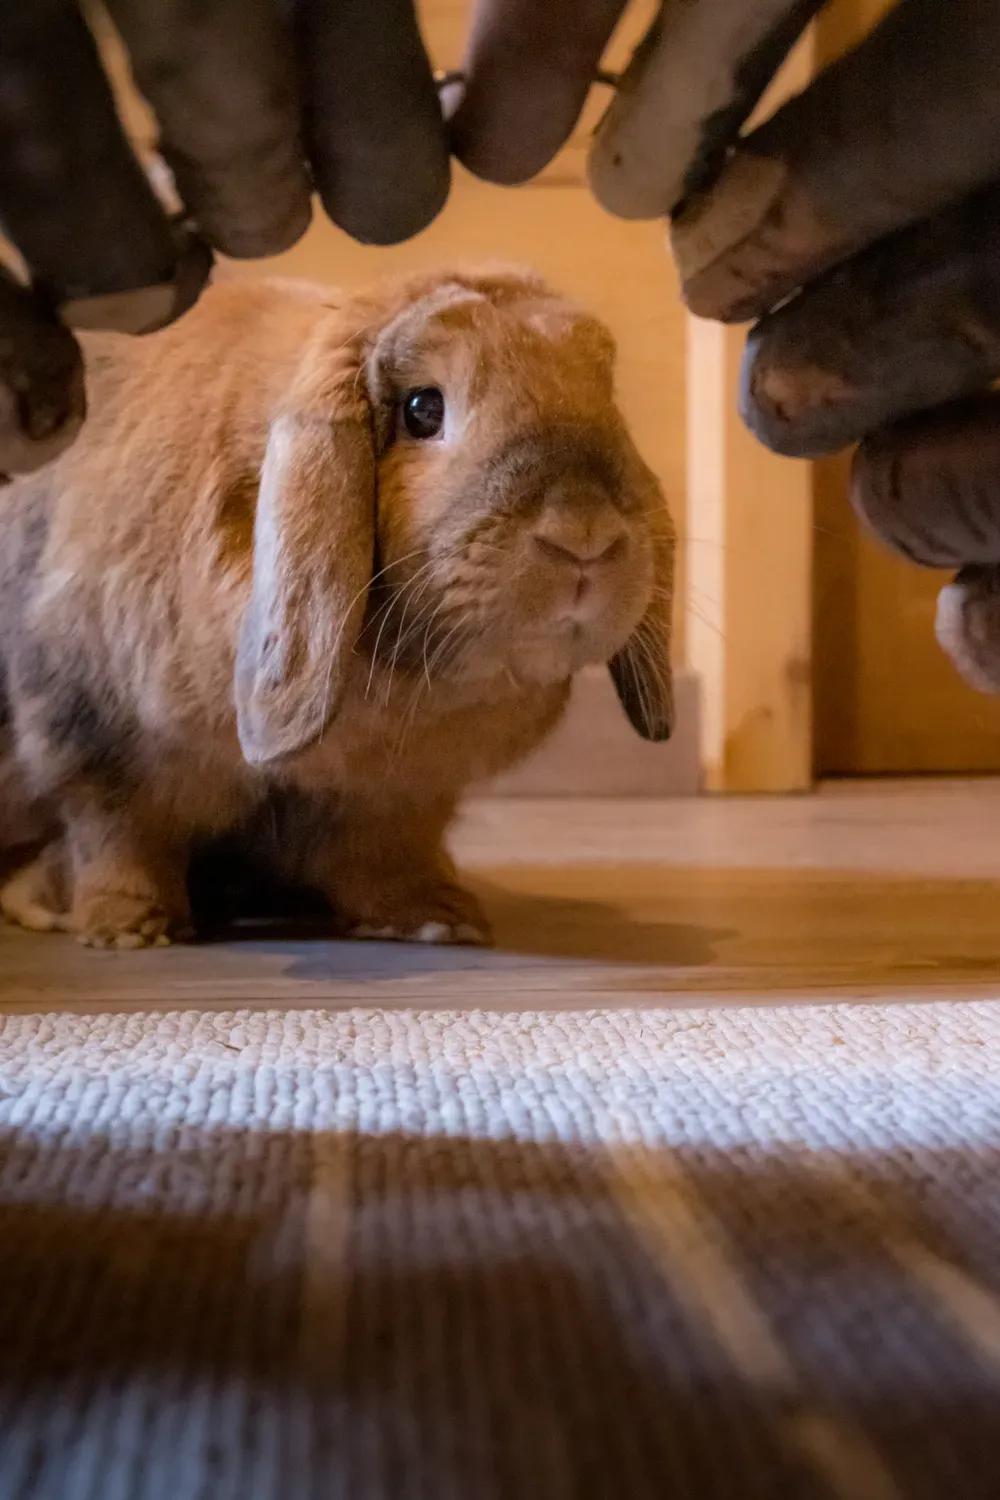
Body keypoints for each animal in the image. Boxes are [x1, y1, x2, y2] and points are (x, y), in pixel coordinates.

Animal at [0, 265, 675, 949]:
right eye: (422, 409)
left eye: (605, 394)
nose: (584, 534)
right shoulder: (90, 734)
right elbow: (118, 837)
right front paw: (129, 930)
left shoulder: (399, 796)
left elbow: (384, 854)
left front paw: (438, 918)